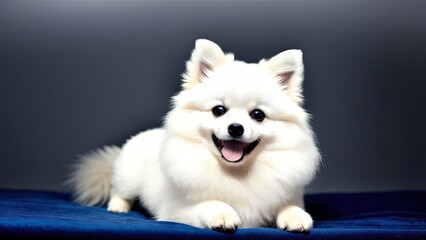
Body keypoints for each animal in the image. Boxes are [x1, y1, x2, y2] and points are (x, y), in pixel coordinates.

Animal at [67, 39, 320, 232]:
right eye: (219, 110)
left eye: (258, 115)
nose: (235, 127)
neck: (236, 172)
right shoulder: (176, 212)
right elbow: (210, 202)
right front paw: (223, 214)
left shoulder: (286, 194)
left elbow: (289, 206)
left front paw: (296, 216)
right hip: (128, 176)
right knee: (119, 190)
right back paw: (118, 206)